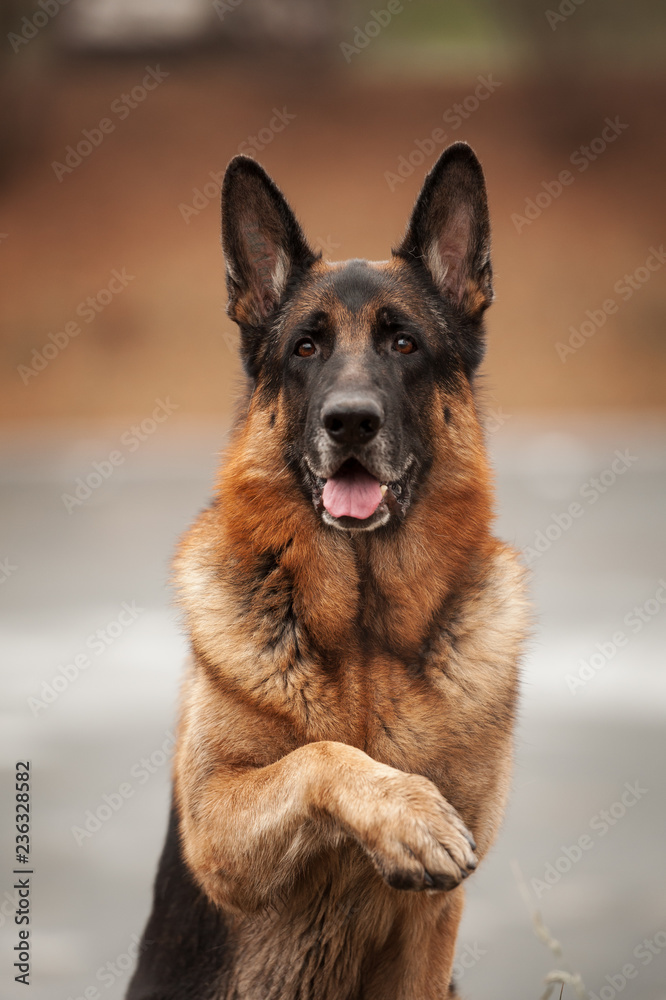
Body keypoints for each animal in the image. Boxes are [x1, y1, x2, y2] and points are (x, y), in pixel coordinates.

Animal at [127, 143, 528, 1000]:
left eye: (405, 344)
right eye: (305, 349)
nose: (349, 422)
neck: (367, 632)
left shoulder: (431, 929)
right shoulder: (216, 829)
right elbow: (320, 756)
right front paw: (408, 813)